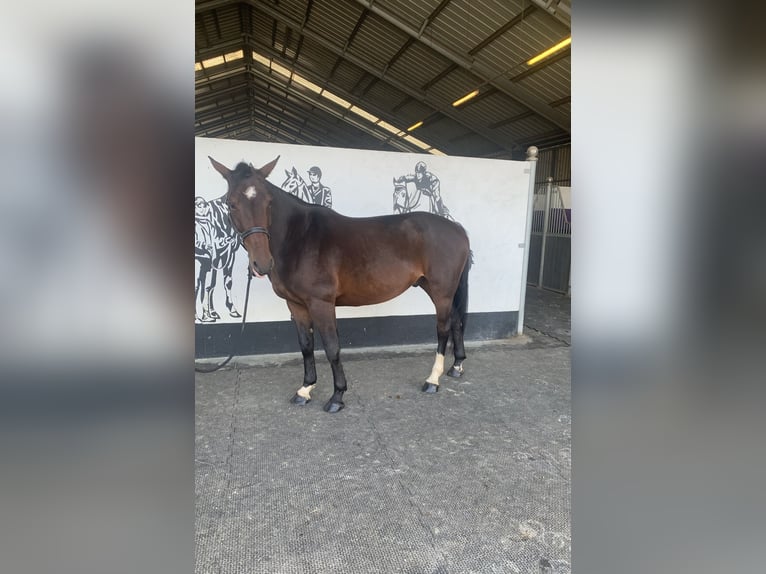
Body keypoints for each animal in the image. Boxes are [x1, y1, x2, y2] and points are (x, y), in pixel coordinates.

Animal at [209, 156, 471, 413]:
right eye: (231, 203)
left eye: (268, 202)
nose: (262, 264)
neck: (300, 238)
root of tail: (457, 228)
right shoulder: (296, 305)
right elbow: (306, 345)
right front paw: (305, 390)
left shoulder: (321, 303)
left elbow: (331, 347)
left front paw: (337, 396)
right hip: (434, 287)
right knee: (456, 320)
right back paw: (456, 367)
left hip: (441, 291)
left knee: (443, 328)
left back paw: (432, 380)